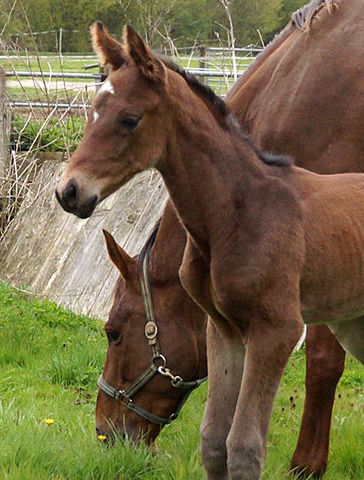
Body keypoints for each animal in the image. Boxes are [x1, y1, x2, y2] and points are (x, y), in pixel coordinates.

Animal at [54, 19, 364, 480]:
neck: (239, 207)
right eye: (92, 111)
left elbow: (245, 447)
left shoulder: (277, 328)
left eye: (129, 119)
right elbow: (215, 442)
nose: (69, 191)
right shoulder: (224, 329)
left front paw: (305, 464)